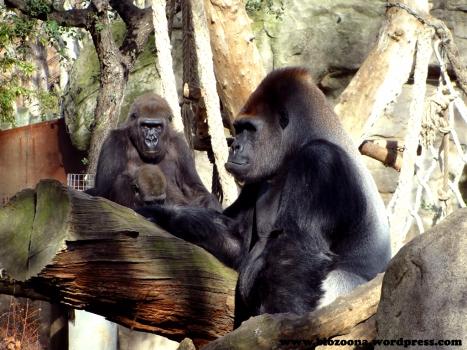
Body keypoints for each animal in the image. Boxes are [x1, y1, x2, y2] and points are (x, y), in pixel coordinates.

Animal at [90, 93, 221, 211]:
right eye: (145, 126)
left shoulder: (180, 145)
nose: (151, 140)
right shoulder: (114, 141)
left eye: (158, 127)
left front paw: (212, 206)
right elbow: (103, 194)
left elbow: (195, 190)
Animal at [138, 67, 392, 328]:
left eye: (249, 129)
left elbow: (296, 250)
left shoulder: (320, 162)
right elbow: (236, 238)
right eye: (238, 128)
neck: (298, 145)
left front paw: (284, 319)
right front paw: (162, 214)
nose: (234, 147)